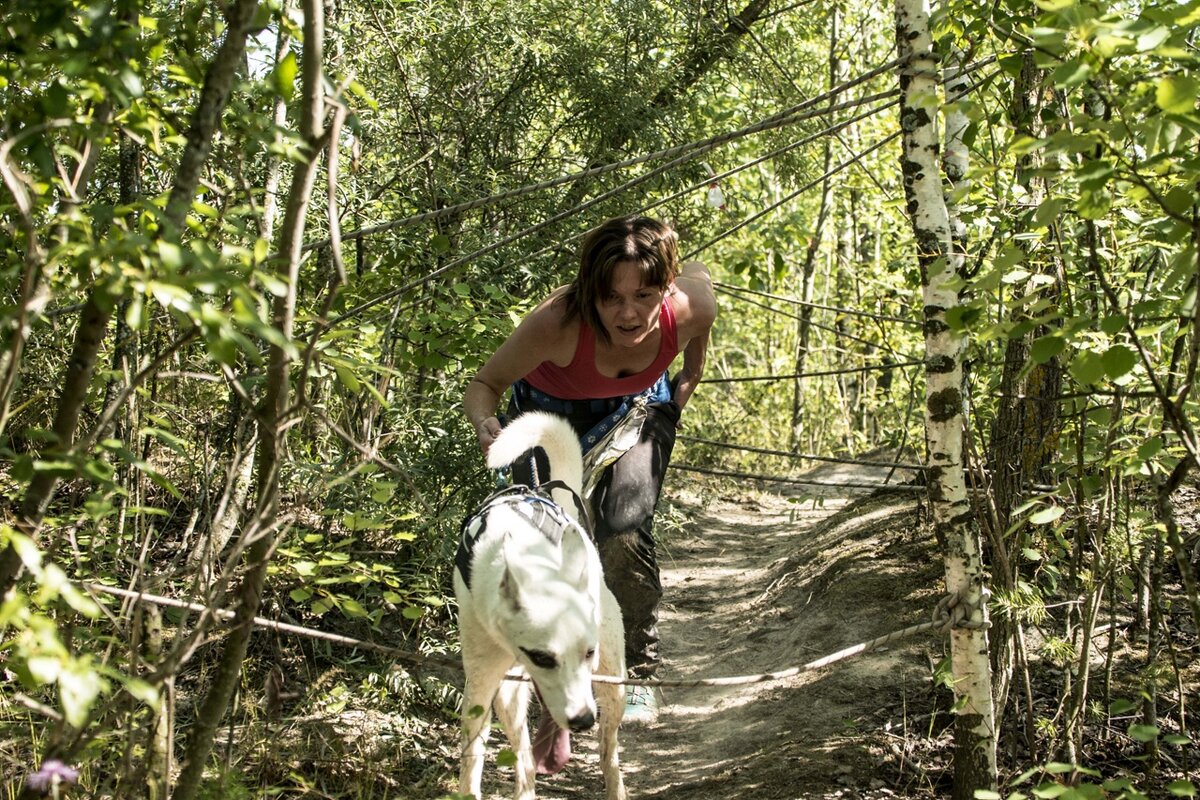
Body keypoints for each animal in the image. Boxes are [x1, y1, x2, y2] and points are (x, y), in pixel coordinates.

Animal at [453, 412, 628, 800]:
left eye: (588, 653)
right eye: (543, 658)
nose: (583, 720)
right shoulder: (483, 678)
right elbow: (473, 756)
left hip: (613, 684)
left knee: (609, 751)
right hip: (510, 694)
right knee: (524, 757)